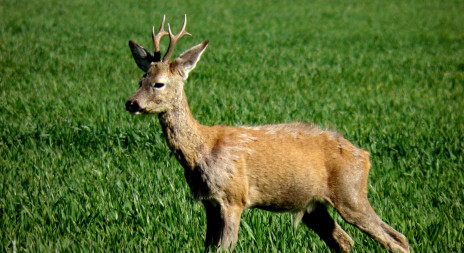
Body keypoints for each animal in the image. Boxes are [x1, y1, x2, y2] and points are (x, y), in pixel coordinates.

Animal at [124, 14, 410, 252]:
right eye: (140, 80)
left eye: (159, 84)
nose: (131, 103)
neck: (201, 152)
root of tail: (364, 155)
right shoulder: (210, 203)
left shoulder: (234, 198)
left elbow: (225, 248)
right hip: (314, 207)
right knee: (344, 240)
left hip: (351, 193)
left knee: (397, 239)